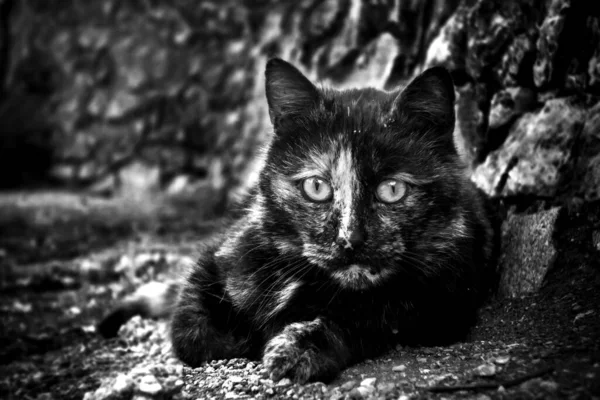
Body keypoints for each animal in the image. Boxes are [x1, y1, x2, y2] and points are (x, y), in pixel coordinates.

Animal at [98, 57, 496, 382]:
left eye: (392, 190)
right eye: (316, 187)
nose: (349, 239)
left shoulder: (443, 299)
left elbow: (367, 316)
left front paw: (298, 347)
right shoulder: (216, 259)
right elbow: (193, 331)